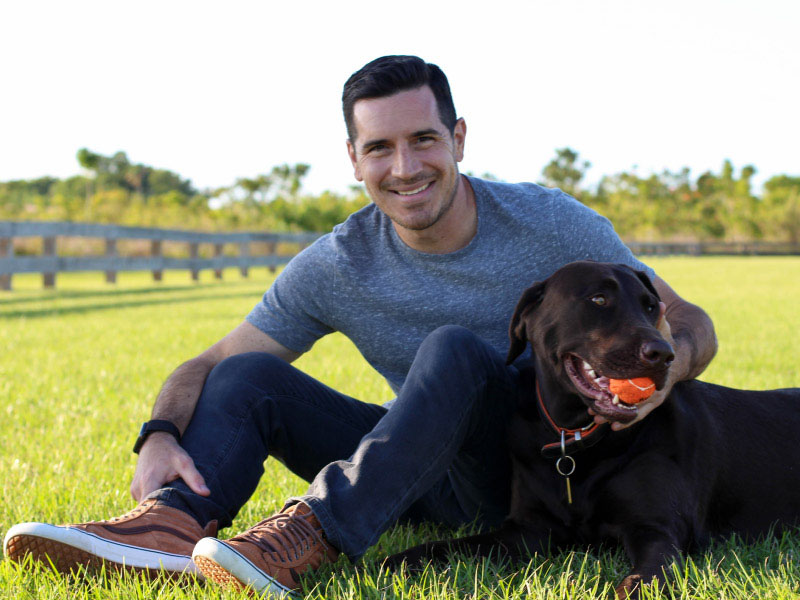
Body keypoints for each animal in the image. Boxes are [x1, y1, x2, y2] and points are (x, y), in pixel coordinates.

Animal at [384, 262, 800, 596]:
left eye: (651, 307)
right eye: (598, 299)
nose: (662, 354)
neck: (576, 439)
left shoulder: (656, 528)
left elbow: (649, 574)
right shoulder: (527, 529)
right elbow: (451, 546)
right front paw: (398, 560)